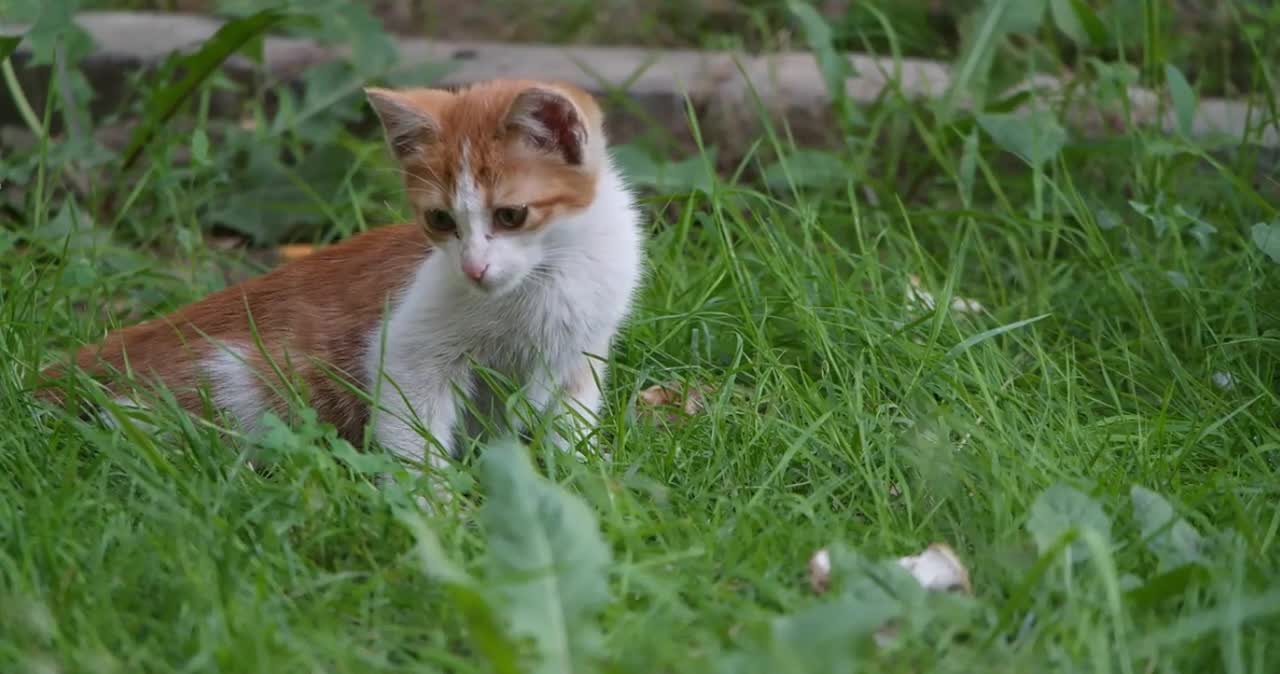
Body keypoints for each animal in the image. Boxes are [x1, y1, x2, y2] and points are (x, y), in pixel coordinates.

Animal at [36, 79, 645, 498]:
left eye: (512, 215)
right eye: (440, 220)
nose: (473, 269)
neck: (556, 272)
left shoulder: (580, 359)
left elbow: (571, 428)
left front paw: (586, 484)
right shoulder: (406, 350)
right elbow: (414, 430)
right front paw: (434, 508)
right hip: (241, 382)